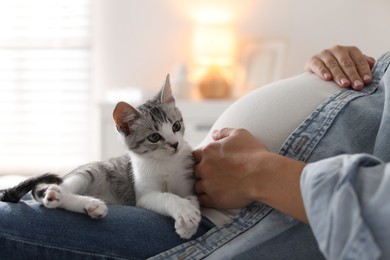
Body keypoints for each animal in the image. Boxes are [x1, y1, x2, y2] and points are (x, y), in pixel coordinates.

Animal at [0, 74, 200, 238]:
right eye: (154, 137)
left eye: (176, 126)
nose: (175, 144)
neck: (166, 162)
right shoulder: (144, 194)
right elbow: (165, 196)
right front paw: (184, 212)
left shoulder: (186, 183)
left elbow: (193, 199)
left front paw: (189, 220)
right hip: (91, 170)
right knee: (50, 195)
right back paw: (66, 198)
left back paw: (91, 206)